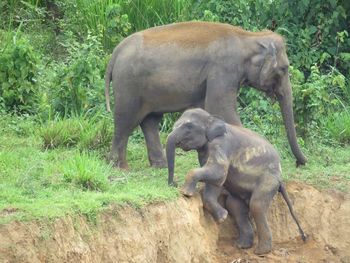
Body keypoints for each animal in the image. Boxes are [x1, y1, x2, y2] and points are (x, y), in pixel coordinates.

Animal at [106, 20, 306, 169]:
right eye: (284, 68)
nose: (300, 163)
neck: (248, 37)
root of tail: (116, 52)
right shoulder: (223, 69)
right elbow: (221, 108)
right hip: (128, 84)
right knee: (125, 120)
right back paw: (119, 167)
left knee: (150, 121)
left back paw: (159, 166)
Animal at [165, 109, 304, 256]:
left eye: (189, 126)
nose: (173, 184)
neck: (213, 119)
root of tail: (280, 179)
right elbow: (216, 181)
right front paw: (223, 217)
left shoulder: (222, 144)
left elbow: (218, 172)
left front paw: (186, 192)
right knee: (235, 206)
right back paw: (242, 245)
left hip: (268, 181)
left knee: (256, 205)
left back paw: (261, 251)